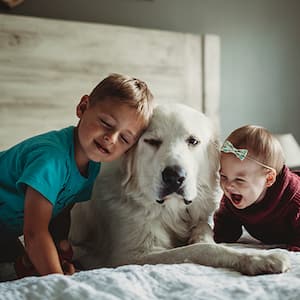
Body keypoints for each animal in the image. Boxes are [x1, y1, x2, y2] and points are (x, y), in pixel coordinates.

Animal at [69, 103, 290, 276]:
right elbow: (201, 249)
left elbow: (205, 232)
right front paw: (259, 258)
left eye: (192, 141)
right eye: (152, 141)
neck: (170, 210)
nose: (174, 177)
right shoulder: (130, 256)